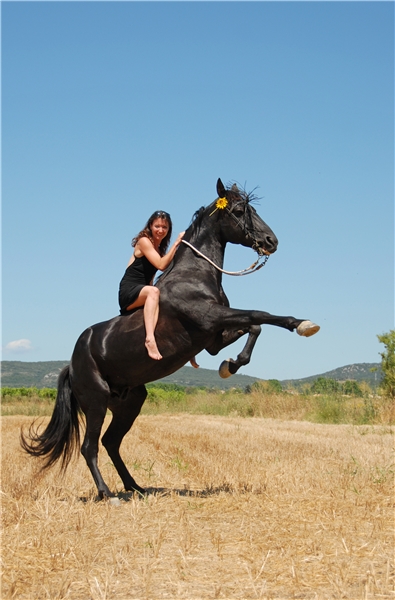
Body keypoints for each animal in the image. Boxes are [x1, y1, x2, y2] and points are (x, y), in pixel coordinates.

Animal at [21, 178, 320, 496]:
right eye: (240, 210)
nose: (271, 241)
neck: (195, 274)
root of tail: (71, 365)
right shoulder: (211, 317)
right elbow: (260, 315)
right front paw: (303, 325)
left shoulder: (213, 338)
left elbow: (254, 326)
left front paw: (230, 365)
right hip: (95, 401)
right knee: (90, 447)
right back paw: (108, 494)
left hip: (128, 402)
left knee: (111, 443)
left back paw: (136, 488)